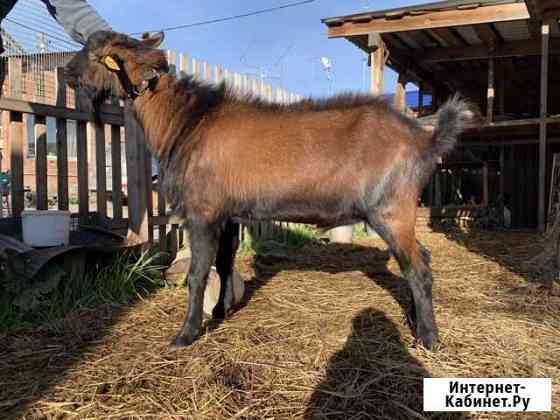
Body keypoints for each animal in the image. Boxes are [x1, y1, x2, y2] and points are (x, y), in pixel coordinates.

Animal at [65, 32, 474, 348]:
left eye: (93, 51)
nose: (66, 72)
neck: (185, 120)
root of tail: (424, 139)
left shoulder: (202, 210)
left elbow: (198, 273)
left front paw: (186, 334)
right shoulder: (228, 213)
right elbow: (224, 263)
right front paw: (222, 311)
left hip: (390, 208)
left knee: (417, 267)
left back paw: (429, 338)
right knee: (420, 260)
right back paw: (415, 319)